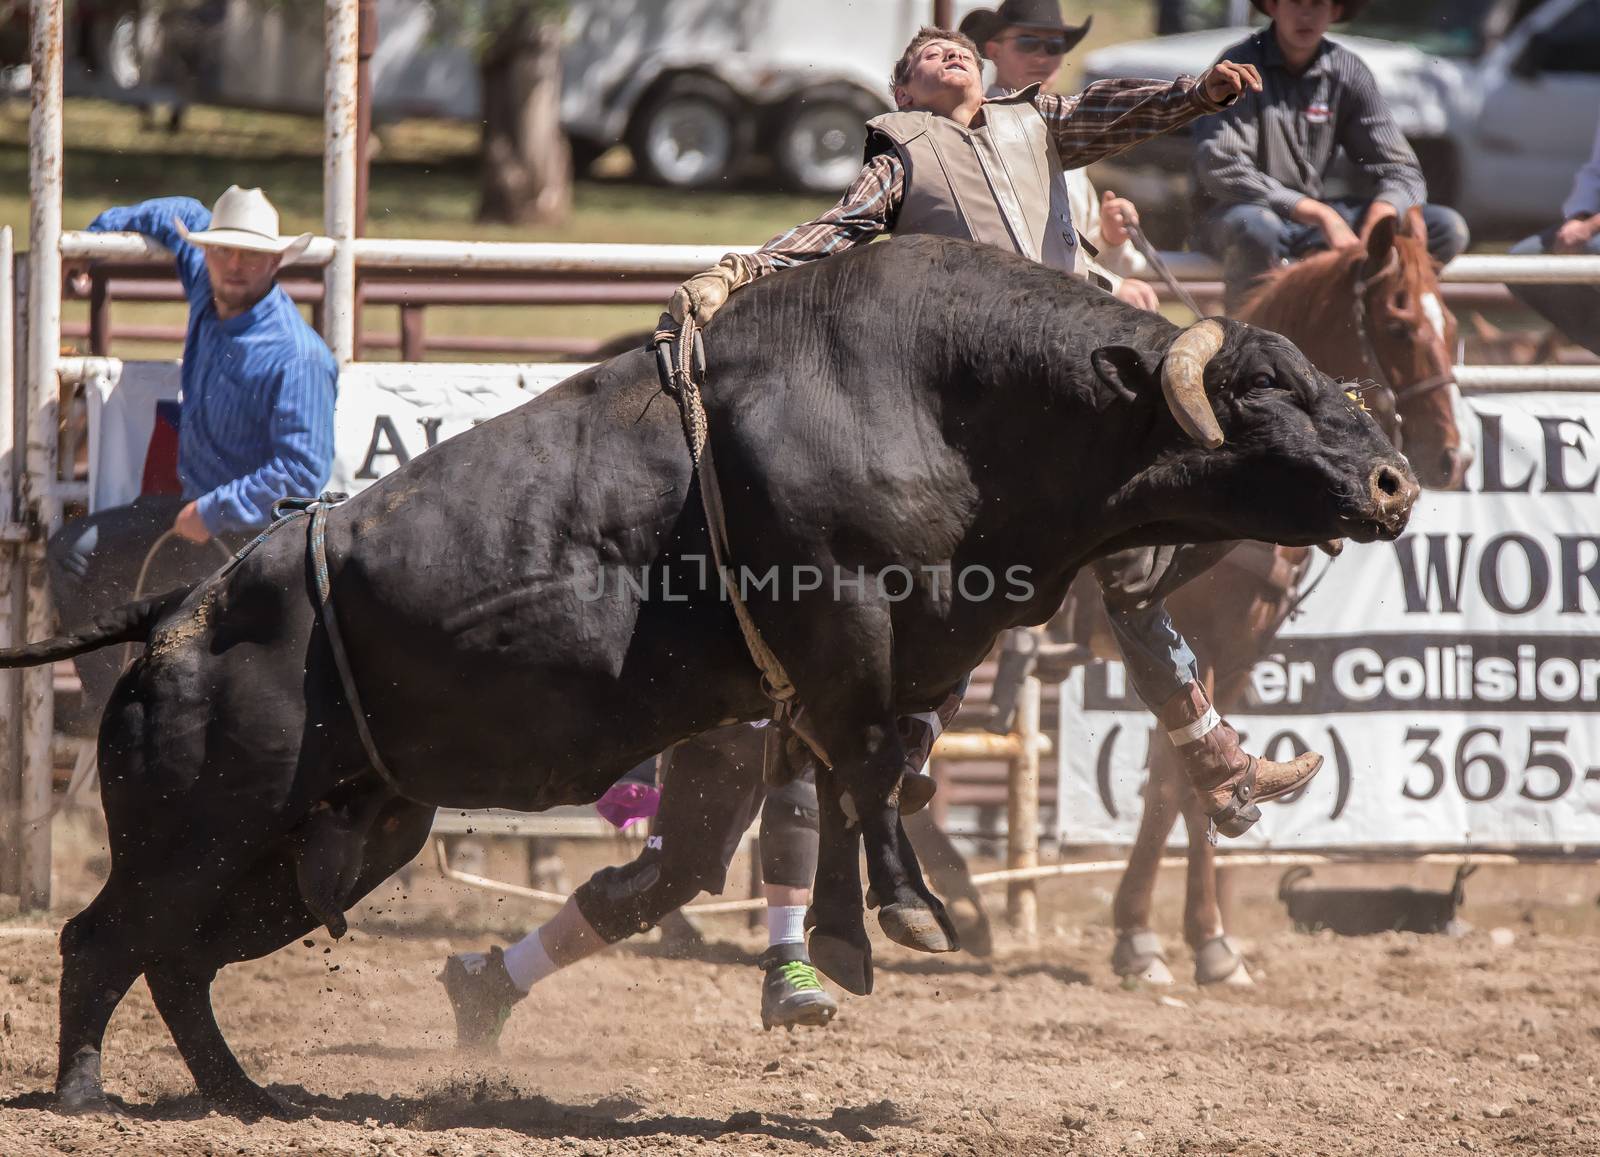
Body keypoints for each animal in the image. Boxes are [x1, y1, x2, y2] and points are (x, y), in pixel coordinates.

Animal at [9, 235, 1414, 1113]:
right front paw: (896, 918)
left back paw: (244, 1091)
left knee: (181, 963)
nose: (1396, 479)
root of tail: (183, 609)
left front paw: (849, 934)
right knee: (104, 936)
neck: (949, 394)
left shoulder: (879, 667)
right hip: (201, 822)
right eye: (1263, 391)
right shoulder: (844, 631)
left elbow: (862, 777)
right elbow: (867, 772)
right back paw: (85, 1086)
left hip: (335, 840)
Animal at [1107, 208, 1465, 985]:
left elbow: (1182, 779)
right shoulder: (1202, 643)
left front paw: (1186, 937)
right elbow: (1177, 787)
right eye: (1398, 323)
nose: (1453, 456)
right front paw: (1171, 939)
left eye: (1450, 322)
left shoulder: (1238, 652)